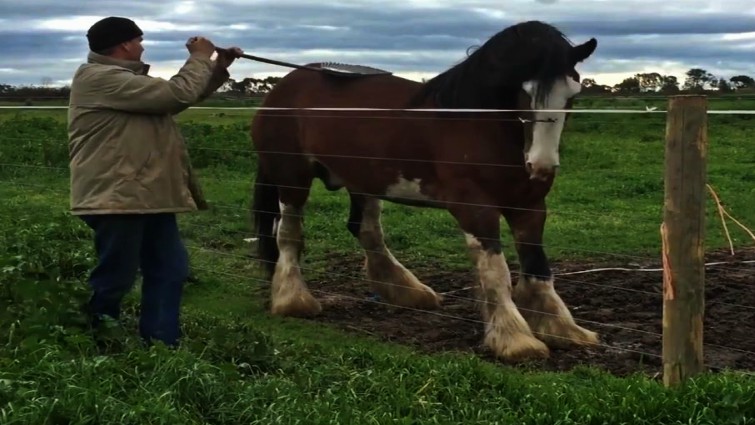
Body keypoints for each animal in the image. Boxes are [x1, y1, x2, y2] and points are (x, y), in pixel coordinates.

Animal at [249, 20, 599, 362]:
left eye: (572, 94)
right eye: (523, 93)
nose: (541, 166)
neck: (477, 124)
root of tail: (283, 88)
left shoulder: (530, 206)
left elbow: (539, 267)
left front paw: (561, 329)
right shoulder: (474, 208)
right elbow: (496, 271)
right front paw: (515, 339)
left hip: (363, 181)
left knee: (365, 231)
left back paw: (407, 291)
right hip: (292, 178)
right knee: (289, 235)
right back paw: (294, 300)